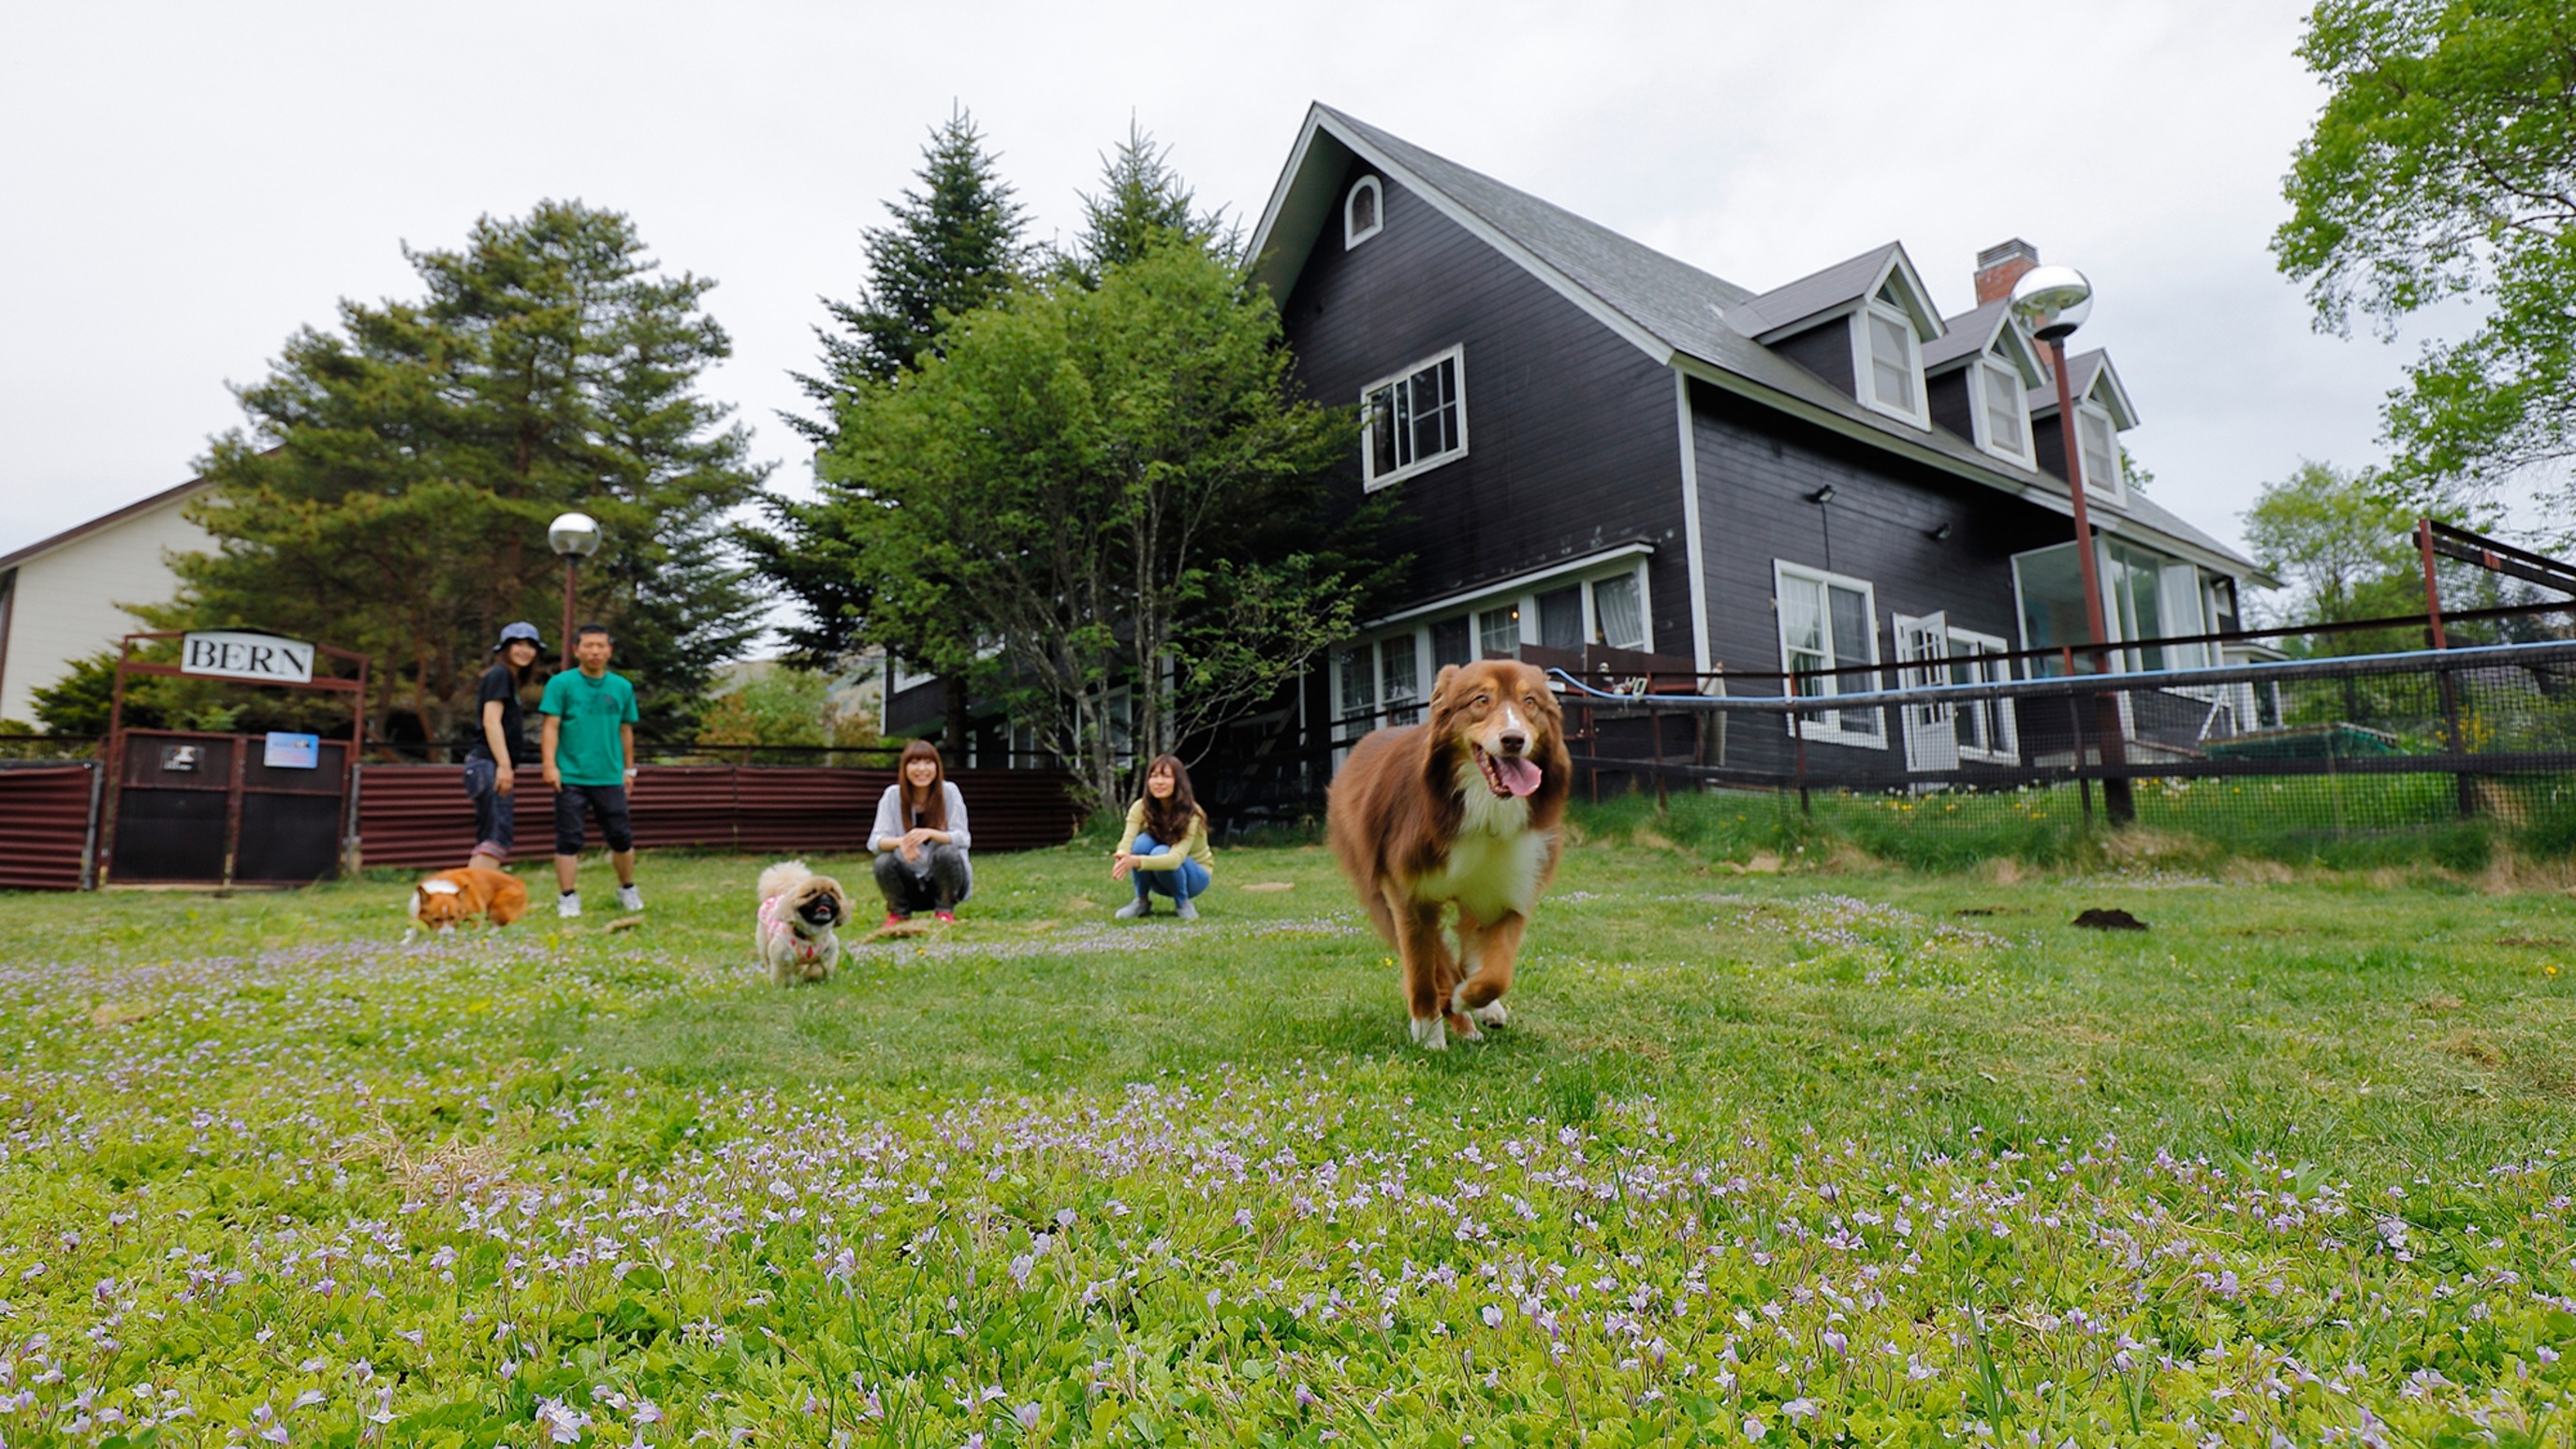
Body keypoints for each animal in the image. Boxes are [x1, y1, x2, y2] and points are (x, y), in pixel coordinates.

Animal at [406, 860, 528, 928]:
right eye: (436, 919)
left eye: (452, 917)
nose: (446, 936)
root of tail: (518, 881)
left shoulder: (476, 915)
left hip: (498, 906)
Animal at [752, 856, 855, 979]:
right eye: (810, 893)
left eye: (833, 893)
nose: (825, 896)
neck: (810, 936)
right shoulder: (781, 957)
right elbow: (783, 975)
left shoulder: (828, 953)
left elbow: (817, 968)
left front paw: (811, 977)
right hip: (764, 944)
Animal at [1329, 657, 1566, 1046]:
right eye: (1481, 700)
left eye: (1529, 701)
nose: (1513, 740)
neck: (1482, 807)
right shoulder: (1407, 893)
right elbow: (1423, 968)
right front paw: (1429, 1032)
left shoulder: (1507, 889)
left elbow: (1496, 973)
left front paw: (1470, 1000)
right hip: (1376, 888)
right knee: (1433, 953)